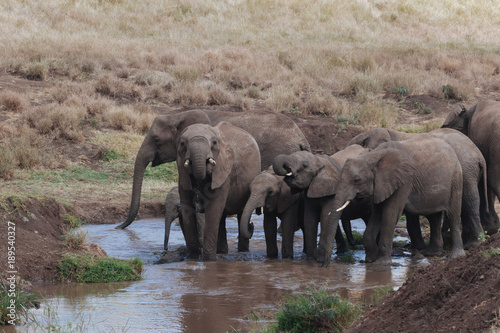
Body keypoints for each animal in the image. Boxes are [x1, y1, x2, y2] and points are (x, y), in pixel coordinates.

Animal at [177, 121, 262, 260]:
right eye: (182, 143)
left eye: (214, 143)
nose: (252, 225)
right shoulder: (181, 173)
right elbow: (186, 208)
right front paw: (192, 259)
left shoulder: (224, 171)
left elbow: (213, 209)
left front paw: (208, 260)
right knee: (221, 218)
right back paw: (222, 252)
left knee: (240, 213)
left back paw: (242, 252)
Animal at [320, 134, 464, 266]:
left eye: (357, 180)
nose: (325, 265)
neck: (373, 156)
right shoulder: (380, 185)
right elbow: (377, 214)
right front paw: (369, 260)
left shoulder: (405, 180)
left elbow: (390, 213)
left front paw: (381, 263)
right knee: (434, 217)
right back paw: (432, 253)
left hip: (456, 178)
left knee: (453, 214)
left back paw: (456, 256)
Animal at [348, 126, 488, 248]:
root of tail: (479, 154)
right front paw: (415, 247)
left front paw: (418, 247)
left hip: (465, 171)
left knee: (469, 202)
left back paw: (473, 244)